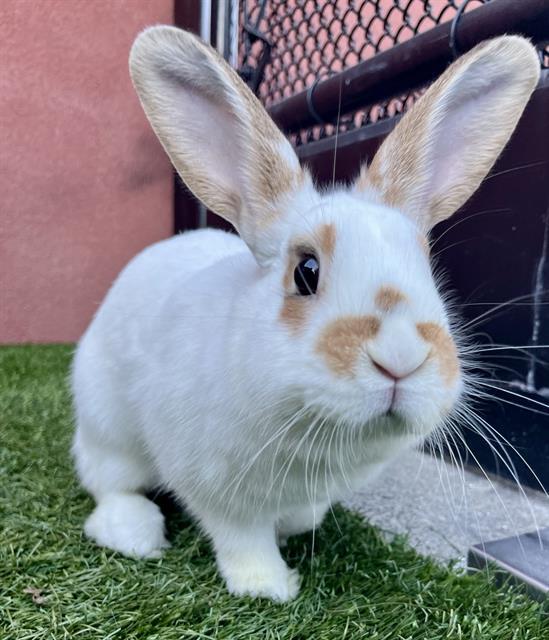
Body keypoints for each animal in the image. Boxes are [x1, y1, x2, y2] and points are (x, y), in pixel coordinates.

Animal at [71, 26, 540, 602]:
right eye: (306, 272)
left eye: (428, 270)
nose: (401, 357)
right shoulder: (215, 487)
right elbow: (242, 538)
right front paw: (269, 587)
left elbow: (301, 518)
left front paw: (291, 531)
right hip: (107, 427)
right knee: (108, 485)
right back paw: (135, 534)